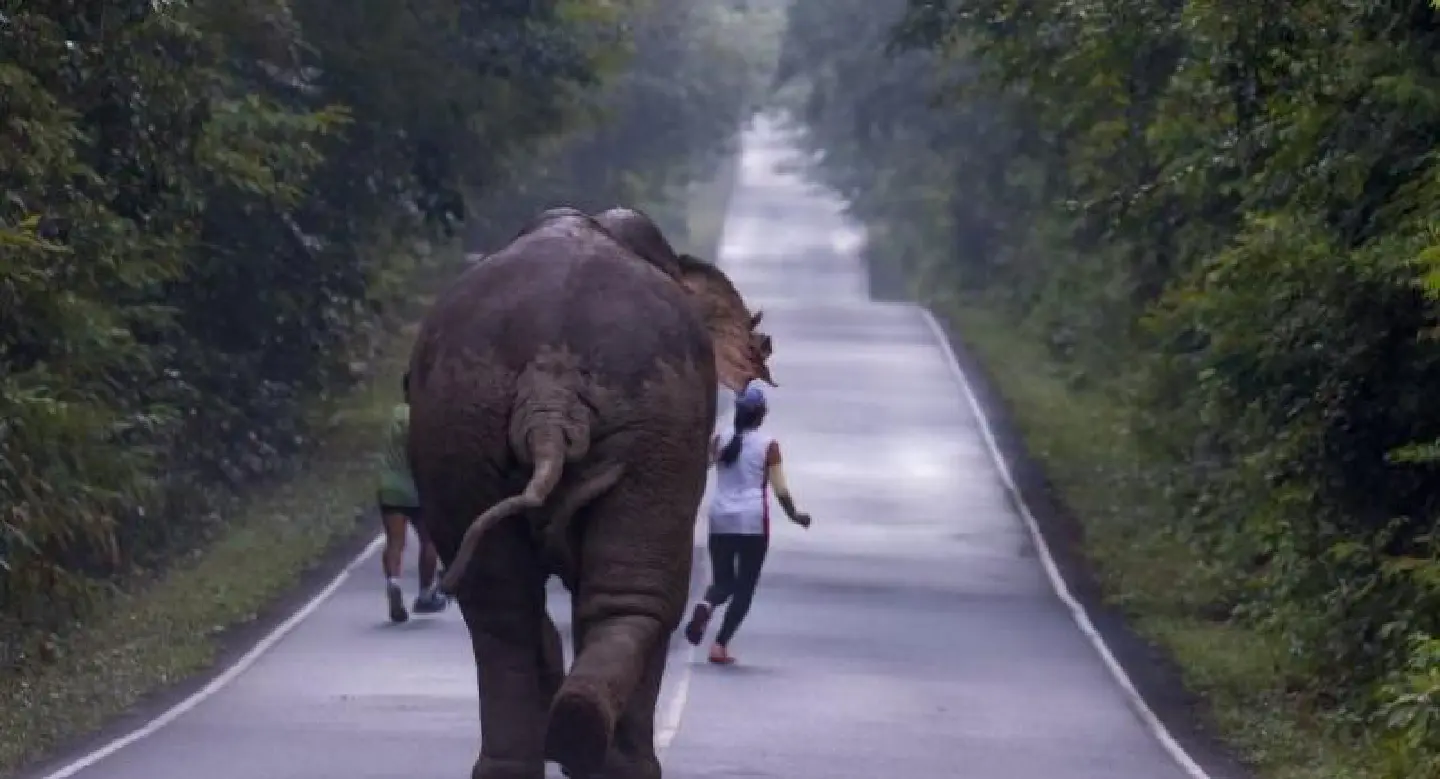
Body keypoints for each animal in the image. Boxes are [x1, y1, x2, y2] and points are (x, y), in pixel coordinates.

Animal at [405, 206, 774, 779]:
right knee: (638, 598)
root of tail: (549, 386)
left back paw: (552, 743)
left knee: (498, 603)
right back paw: (602, 751)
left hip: (459, 418)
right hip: (656, 425)